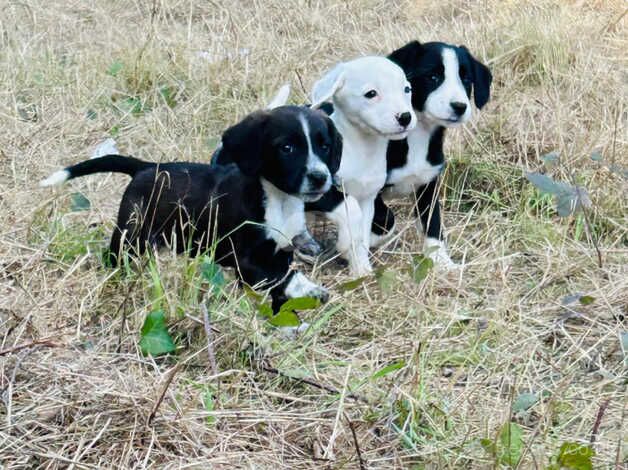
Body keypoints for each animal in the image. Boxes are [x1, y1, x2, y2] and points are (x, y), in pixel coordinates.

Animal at [370, 40, 494, 266]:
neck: (419, 134)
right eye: (433, 77)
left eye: (466, 79)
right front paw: (370, 237)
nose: (459, 106)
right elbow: (385, 218)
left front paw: (441, 261)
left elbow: (433, 224)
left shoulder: (428, 185)